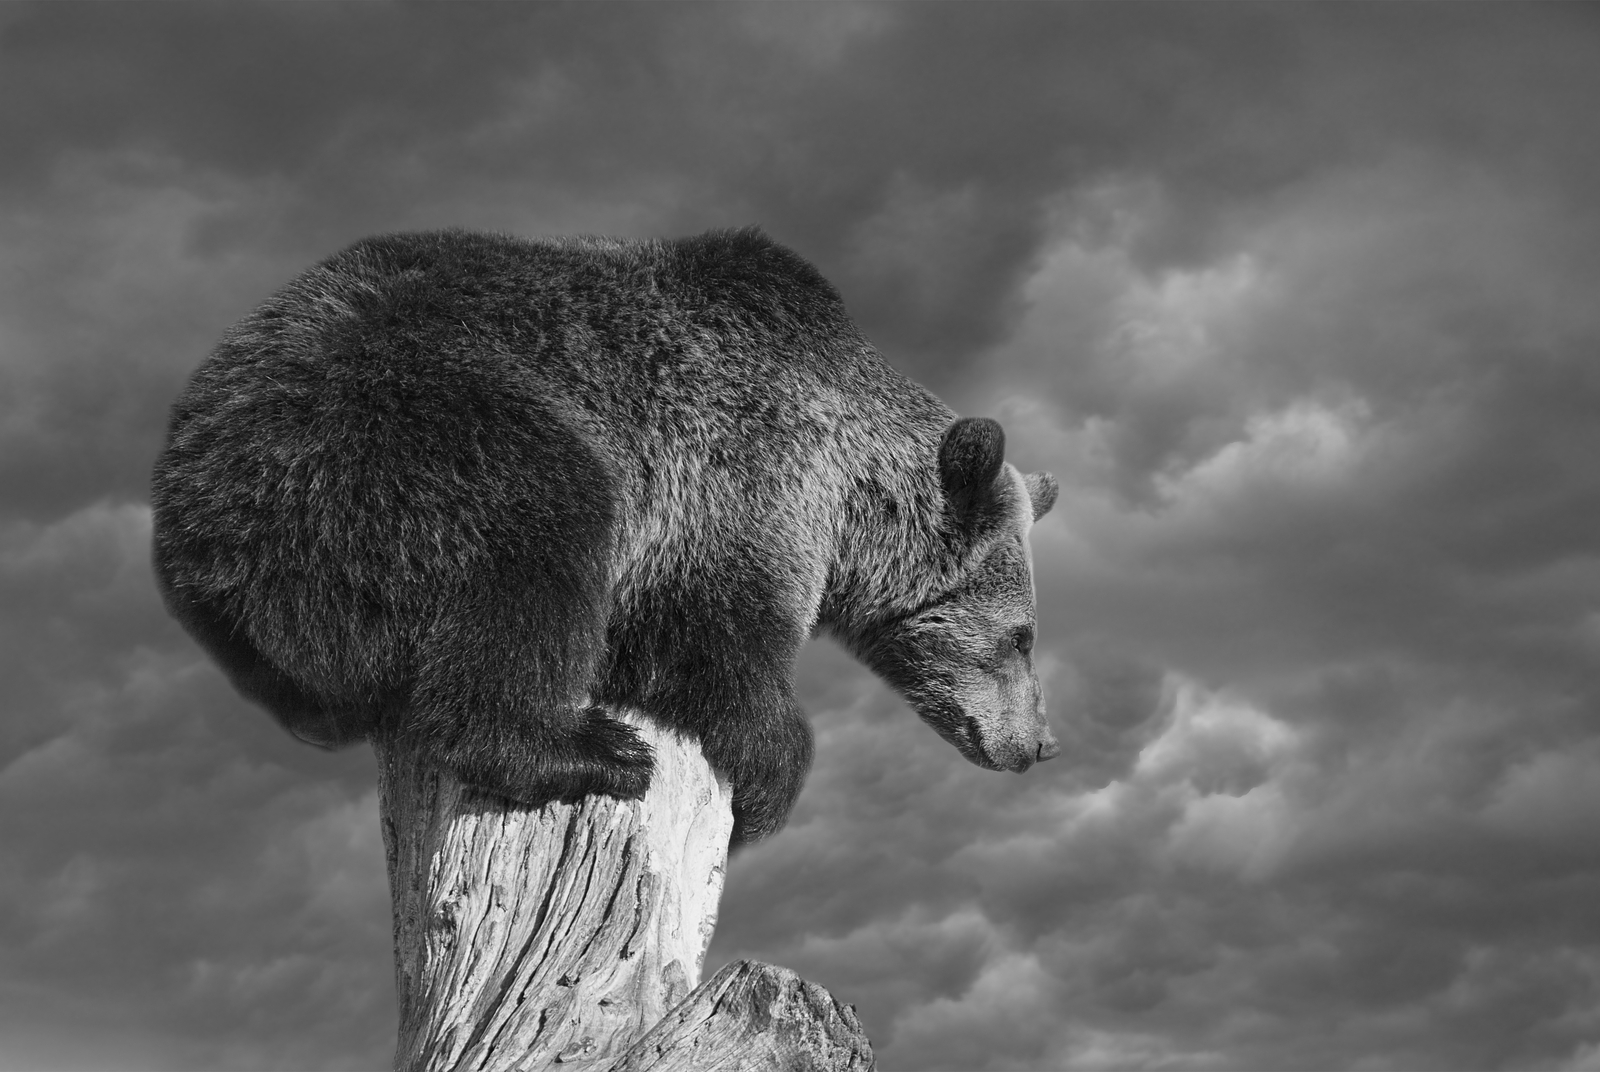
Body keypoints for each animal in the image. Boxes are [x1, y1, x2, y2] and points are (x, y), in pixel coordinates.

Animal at [151, 227, 1061, 844]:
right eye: (1021, 637)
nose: (1039, 744)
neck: (852, 503)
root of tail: (194, 511)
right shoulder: (734, 471)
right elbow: (717, 636)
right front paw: (771, 765)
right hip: (405, 429)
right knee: (538, 537)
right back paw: (586, 748)